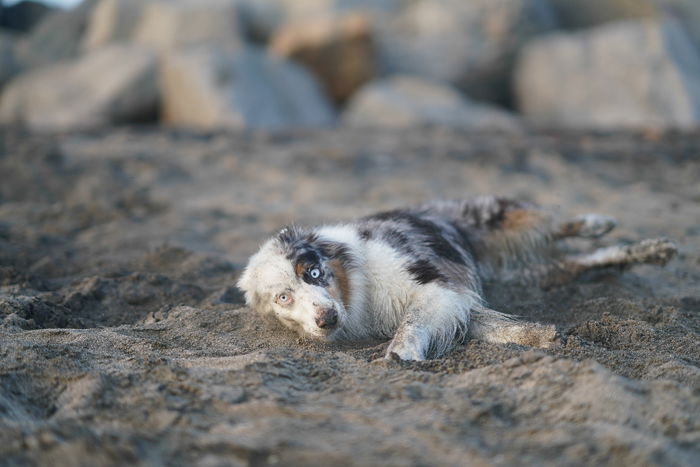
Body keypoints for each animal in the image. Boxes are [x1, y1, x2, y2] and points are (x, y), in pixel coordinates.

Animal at [237, 197, 680, 362]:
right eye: (283, 298)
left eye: (312, 272)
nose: (326, 318)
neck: (357, 289)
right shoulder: (457, 299)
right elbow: (498, 327)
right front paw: (545, 338)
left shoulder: (435, 286)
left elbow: (409, 324)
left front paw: (400, 354)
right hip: (530, 275)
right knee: (580, 262)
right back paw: (644, 252)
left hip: (493, 216)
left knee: (552, 224)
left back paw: (599, 223)